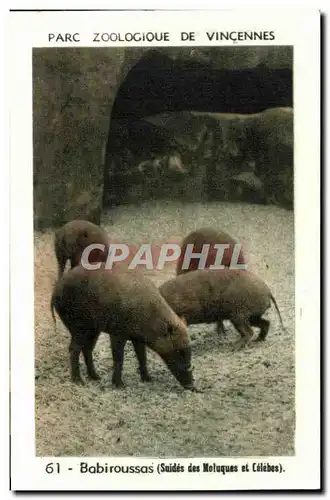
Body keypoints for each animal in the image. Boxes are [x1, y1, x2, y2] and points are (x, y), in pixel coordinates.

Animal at [50, 266, 195, 390]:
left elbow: (142, 356)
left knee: (87, 349)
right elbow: (119, 358)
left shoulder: (137, 339)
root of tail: (56, 289)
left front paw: (148, 379)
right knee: (73, 349)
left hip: (93, 330)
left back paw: (96, 377)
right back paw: (79, 381)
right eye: (179, 350)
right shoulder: (117, 333)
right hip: (78, 327)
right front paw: (120, 385)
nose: (192, 386)